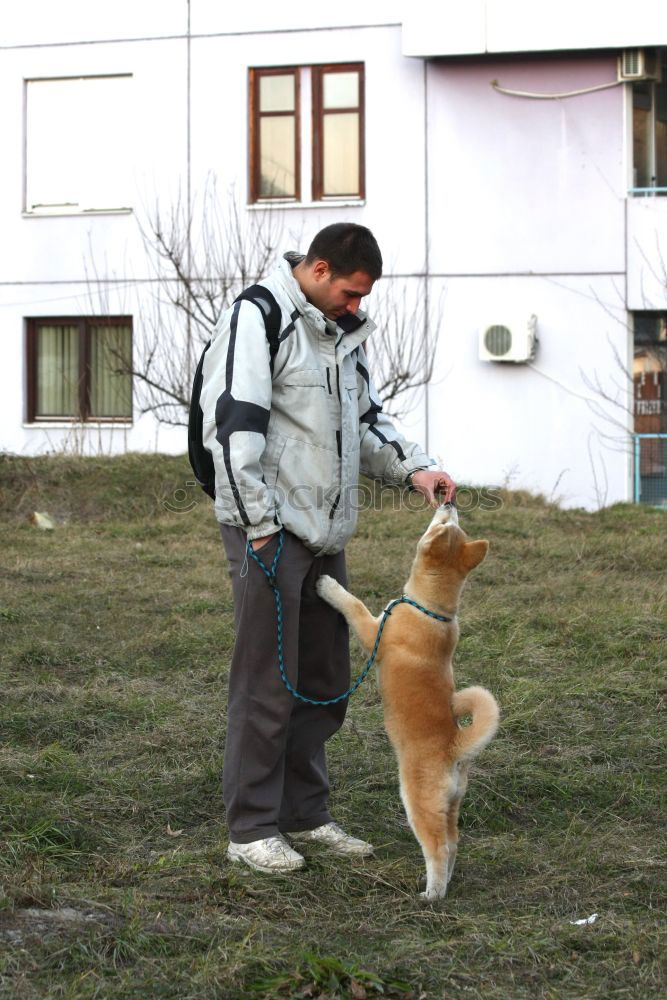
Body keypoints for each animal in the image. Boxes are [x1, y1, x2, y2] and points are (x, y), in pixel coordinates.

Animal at [316, 504, 498, 904]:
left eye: (443, 523)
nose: (448, 502)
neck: (431, 609)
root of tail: (454, 747)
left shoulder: (373, 632)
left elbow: (353, 604)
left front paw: (328, 586)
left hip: (419, 802)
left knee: (438, 847)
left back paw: (432, 894)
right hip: (451, 805)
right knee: (453, 844)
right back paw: (440, 883)